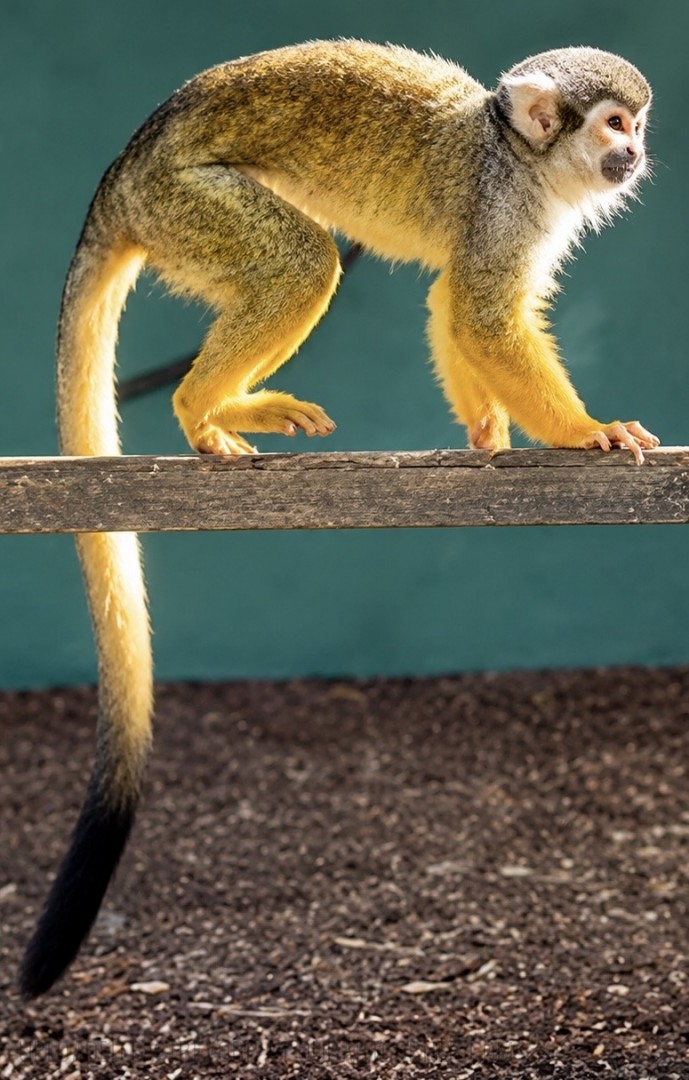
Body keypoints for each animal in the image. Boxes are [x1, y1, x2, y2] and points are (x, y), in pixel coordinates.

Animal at [20, 40, 656, 997]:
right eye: (613, 124)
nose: (634, 153)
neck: (516, 153)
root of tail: (122, 172)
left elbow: (451, 304)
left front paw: (487, 432)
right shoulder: (505, 209)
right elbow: (477, 310)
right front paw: (584, 432)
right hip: (185, 201)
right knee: (300, 261)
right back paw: (203, 408)